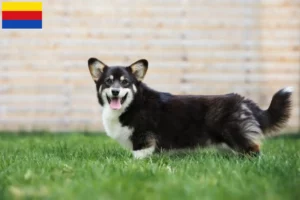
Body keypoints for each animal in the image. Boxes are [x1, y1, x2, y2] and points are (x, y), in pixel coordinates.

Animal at [87, 58, 292, 159]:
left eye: (125, 82)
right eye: (108, 82)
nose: (115, 91)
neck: (133, 104)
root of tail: (243, 101)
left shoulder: (143, 140)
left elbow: (137, 158)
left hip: (234, 134)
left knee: (254, 150)